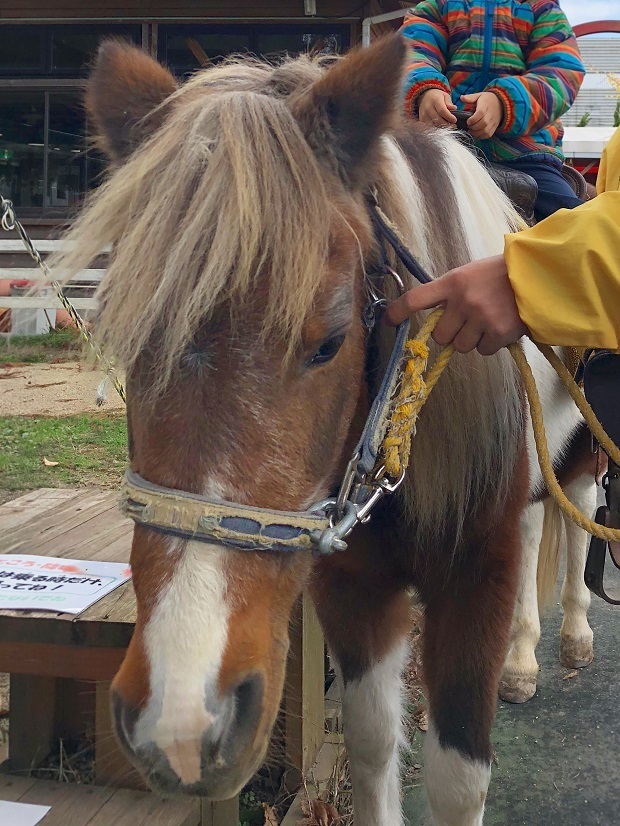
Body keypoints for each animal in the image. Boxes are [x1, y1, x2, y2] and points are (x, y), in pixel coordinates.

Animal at [53, 37, 596, 824]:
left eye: (330, 342)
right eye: (126, 341)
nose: (182, 721)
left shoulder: (476, 576)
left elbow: (458, 780)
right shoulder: (352, 585)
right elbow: (372, 749)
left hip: (580, 453)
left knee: (578, 513)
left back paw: (574, 636)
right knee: (535, 527)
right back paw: (524, 661)